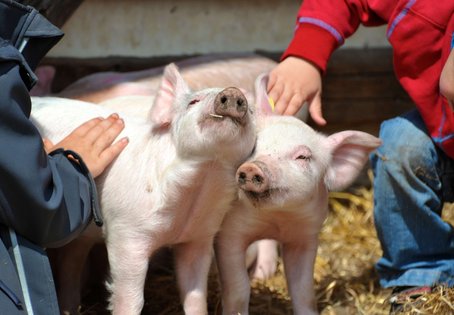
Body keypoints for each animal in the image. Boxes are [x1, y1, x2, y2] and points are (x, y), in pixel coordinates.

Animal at [30, 63, 258, 314]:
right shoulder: (126, 233)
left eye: (253, 112)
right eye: (193, 101)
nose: (233, 92)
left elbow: (195, 294)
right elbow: (131, 297)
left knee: (72, 259)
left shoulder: (199, 236)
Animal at [215, 74, 382, 315]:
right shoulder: (228, 234)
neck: (277, 218)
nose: (254, 167)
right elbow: (238, 290)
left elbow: (303, 291)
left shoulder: (306, 237)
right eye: (254, 145)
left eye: (303, 157)